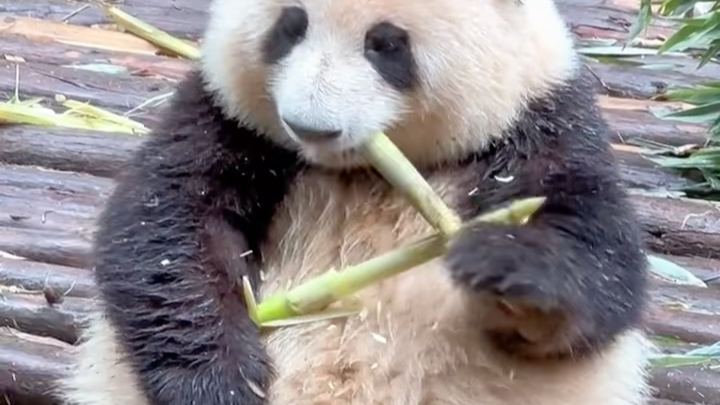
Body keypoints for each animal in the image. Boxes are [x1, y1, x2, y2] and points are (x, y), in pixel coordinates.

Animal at [57, 0, 652, 402]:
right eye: (291, 24)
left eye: (386, 44)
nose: (309, 126)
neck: (362, 171)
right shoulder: (231, 119)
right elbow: (167, 228)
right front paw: (221, 383)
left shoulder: (538, 121)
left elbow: (596, 260)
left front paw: (503, 262)